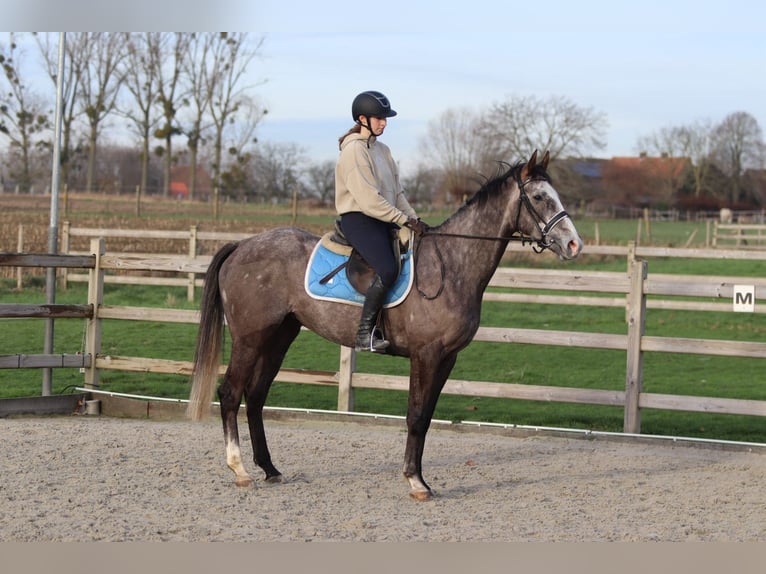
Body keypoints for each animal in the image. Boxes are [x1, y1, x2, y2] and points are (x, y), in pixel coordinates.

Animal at [187, 150, 583, 501]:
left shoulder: (447, 358)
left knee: (255, 396)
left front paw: (419, 478)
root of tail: (241, 245)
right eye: (539, 197)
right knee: (231, 393)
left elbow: (426, 418)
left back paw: (270, 469)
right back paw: (239, 470)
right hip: (250, 338)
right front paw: (415, 482)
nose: (573, 244)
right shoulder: (426, 355)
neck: (451, 264)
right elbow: (416, 416)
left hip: (279, 337)